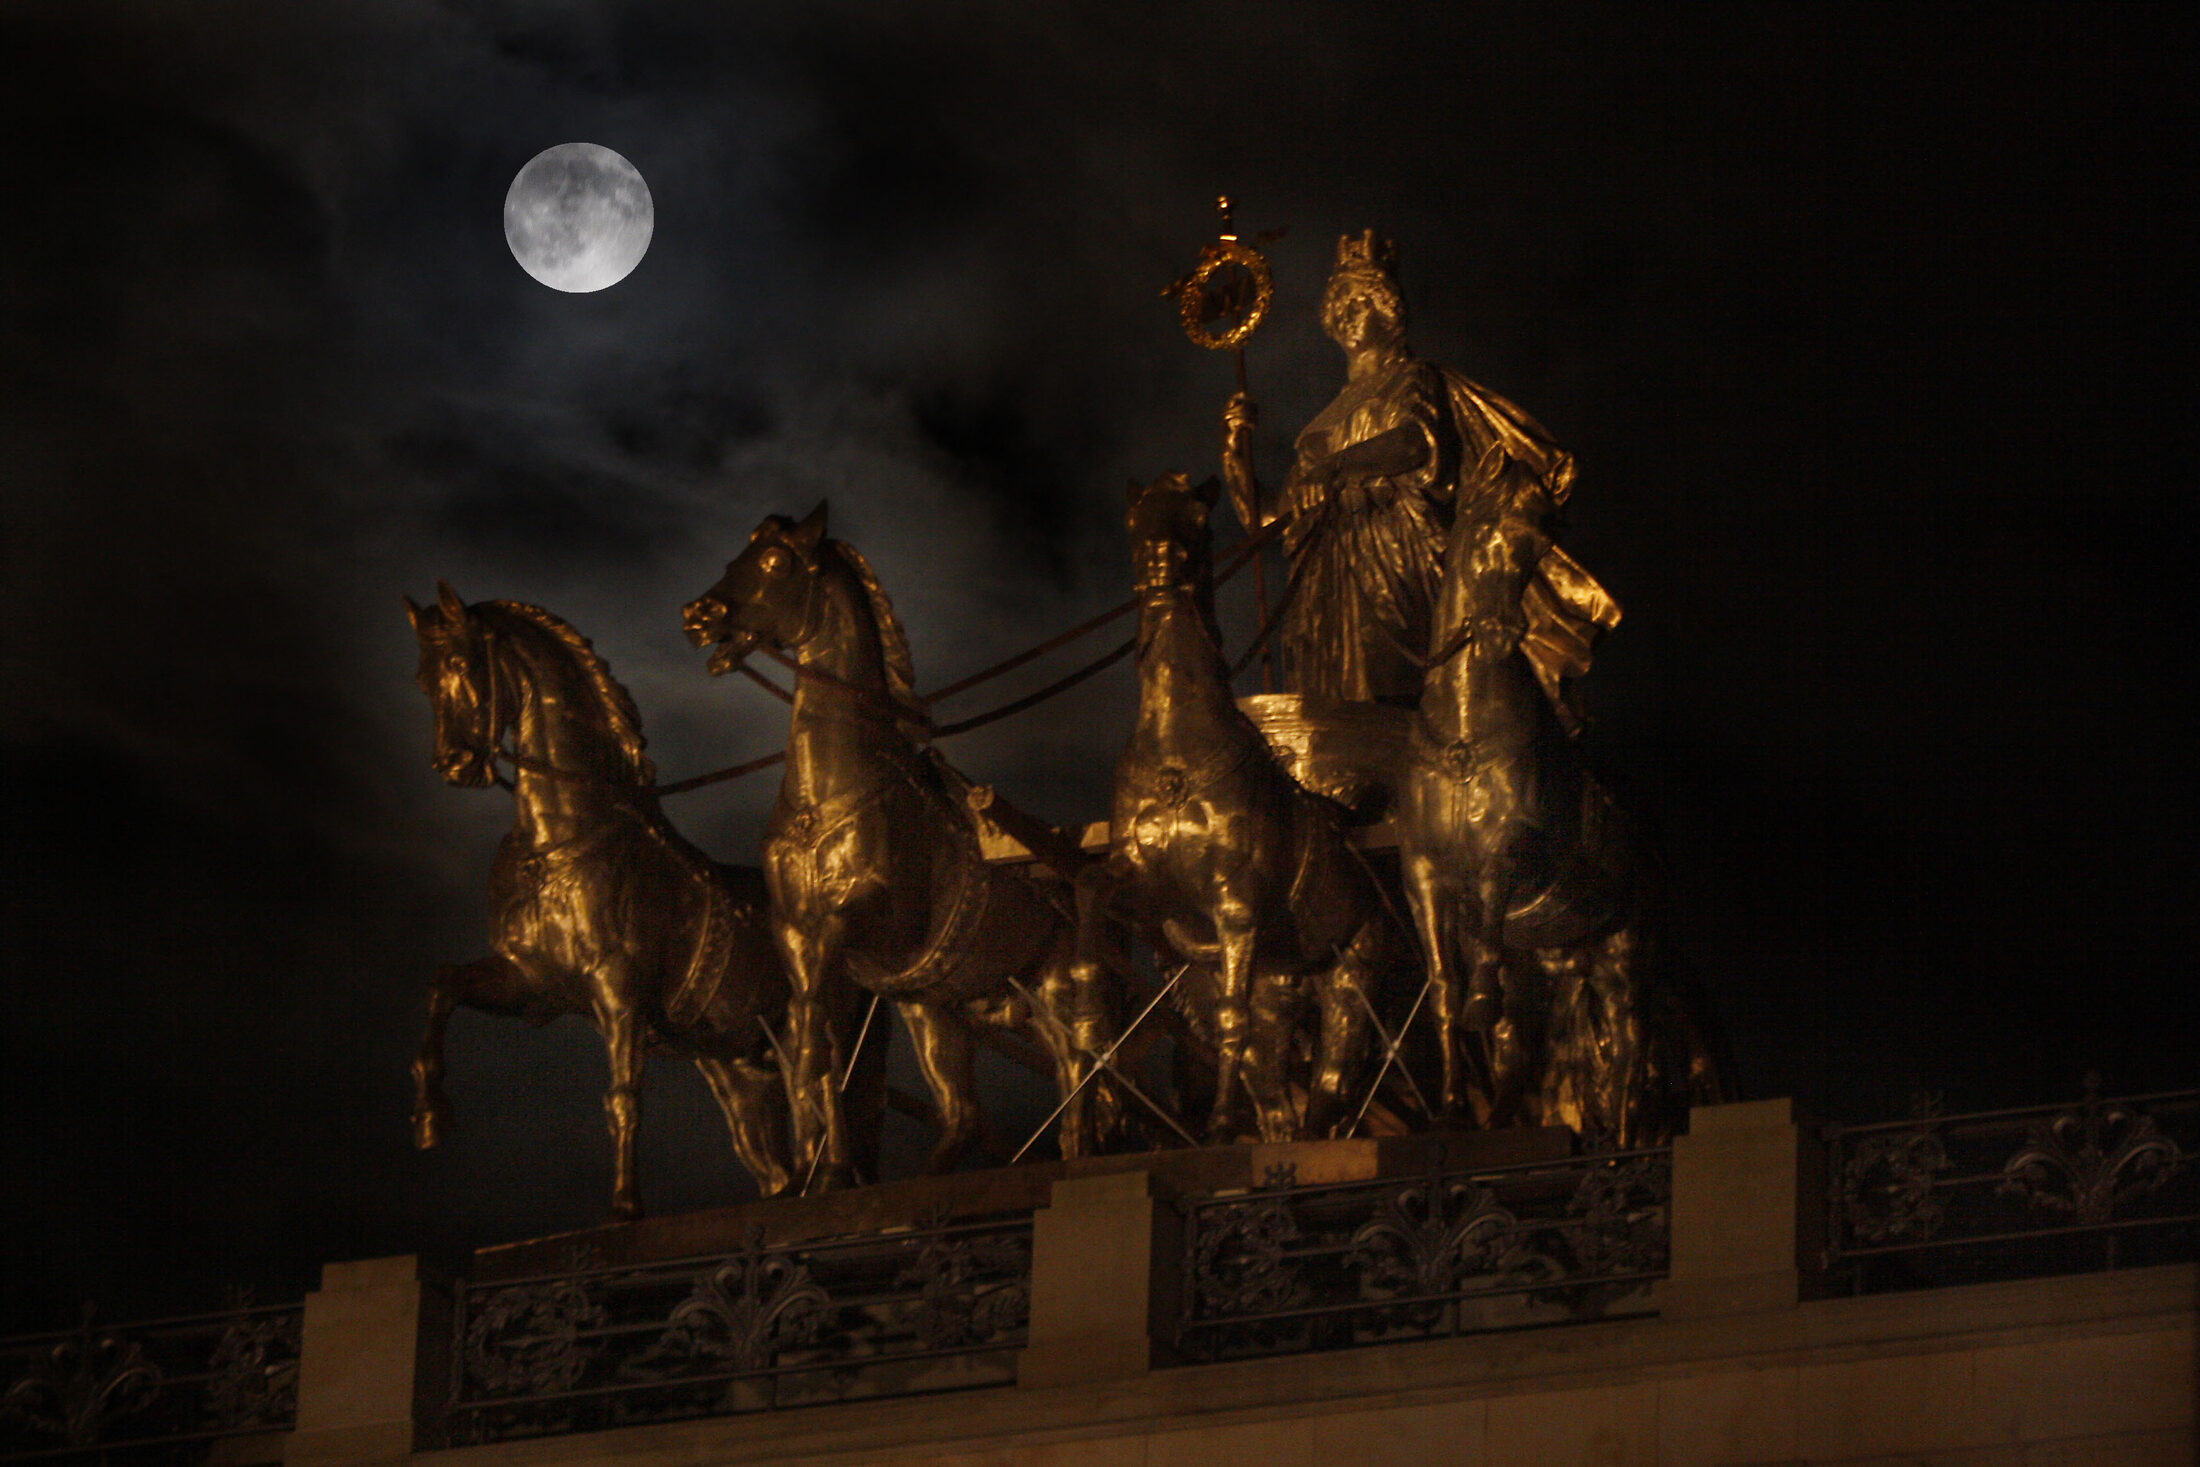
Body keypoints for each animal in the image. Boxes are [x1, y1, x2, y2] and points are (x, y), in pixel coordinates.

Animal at [409, 585, 796, 1214]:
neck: (560, 837)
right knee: (774, 1165)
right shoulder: (533, 984)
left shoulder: (618, 991)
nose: (455, 765)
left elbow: (621, 1097)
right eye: (423, 679)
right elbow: (443, 985)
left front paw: (625, 1206)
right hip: (738, 1066)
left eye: (464, 664)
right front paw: (430, 1117)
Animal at [677, 499, 1126, 1187]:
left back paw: (1080, 1152)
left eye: (774, 561)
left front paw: (820, 1158)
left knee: (1077, 1061)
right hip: (935, 1009)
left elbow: (823, 1030)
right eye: (740, 552)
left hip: (1053, 983)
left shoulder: (867, 917)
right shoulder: (795, 933)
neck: (827, 785)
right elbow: (815, 1041)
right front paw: (822, 1168)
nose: (698, 616)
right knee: (965, 1112)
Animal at [1078, 477, 1390, 1143]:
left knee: (1331, 1078)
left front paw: (1220, 1122)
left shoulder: (1235, 905)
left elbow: (1228, 1016)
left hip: (1351, 979)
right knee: (1275, 1091)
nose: (1161, 568)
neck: (1176, 747)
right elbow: (1092, 893)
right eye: (1135, 521)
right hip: (1281, 987)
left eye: (1199, 519)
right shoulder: (1149, 889)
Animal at [1390, 453, 1733, 1143]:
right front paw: (1450, 1109)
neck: (1464, 731)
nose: (1499, 634)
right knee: (1528, 1049)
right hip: (1559, 958)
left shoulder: (1508, 852)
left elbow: (1487, 927)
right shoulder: (1422, 872)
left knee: (1630, 1047)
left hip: (1621, 950)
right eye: (1484, 530)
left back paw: (1623, 1142)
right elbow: (1444, 989)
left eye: (1540, 545)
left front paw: (1479, 1003)